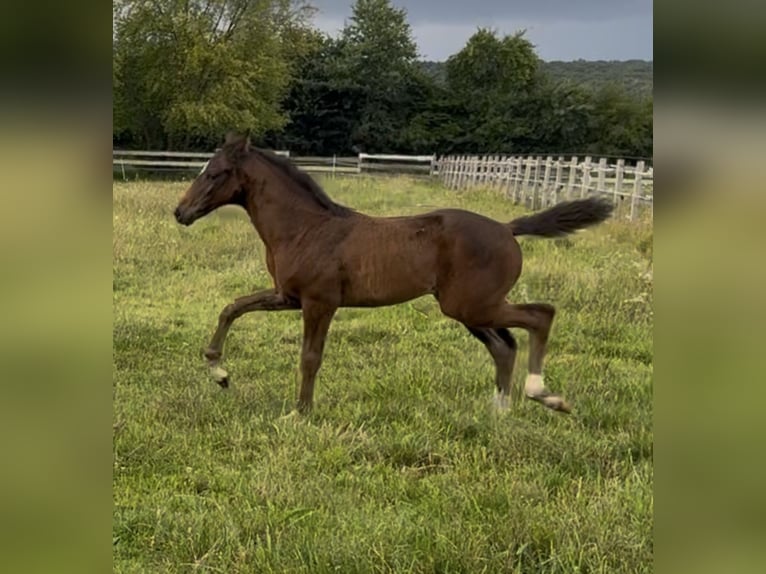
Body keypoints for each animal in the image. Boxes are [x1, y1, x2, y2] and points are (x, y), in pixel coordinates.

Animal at [174, 132, 614, 415]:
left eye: (214, 173)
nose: (180, 212)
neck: (305, 228)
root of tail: (508, 229)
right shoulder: (287, 296)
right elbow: (233, 307)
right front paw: (219, 372)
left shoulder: (320, 303)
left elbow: (310, 357)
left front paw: (300, 413)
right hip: (468, 309)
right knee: (504, 346)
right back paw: (499, 412)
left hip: (472, 305)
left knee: (540, 315)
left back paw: (544, 395)